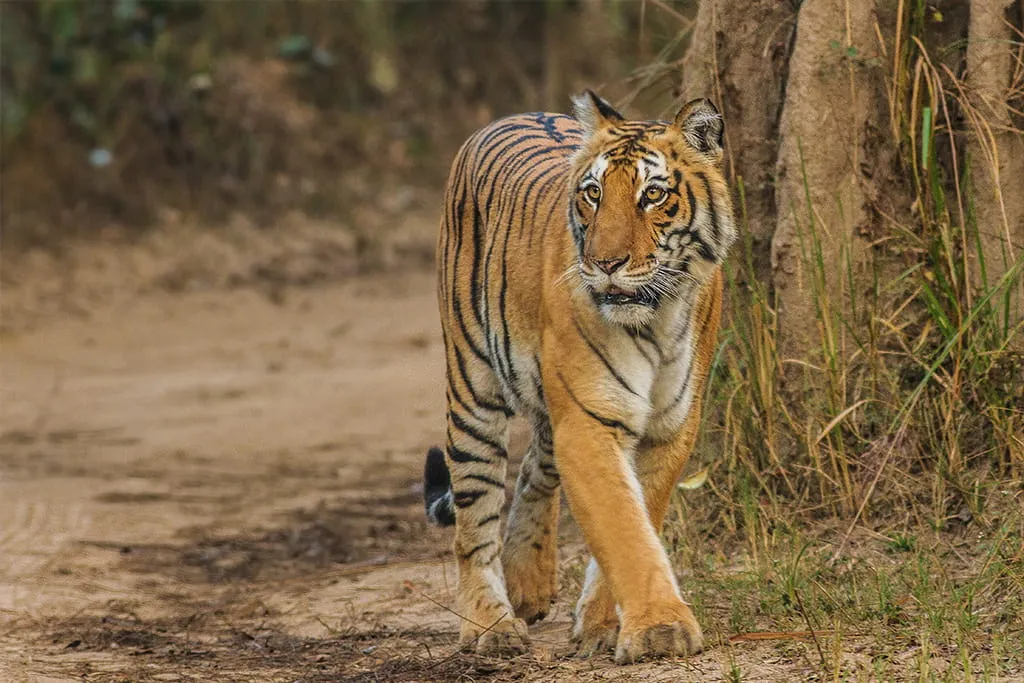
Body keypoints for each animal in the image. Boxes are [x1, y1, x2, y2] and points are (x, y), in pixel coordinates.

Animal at [422, 90, 736, 664]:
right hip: (472, 386)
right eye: (593, 194)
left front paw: (604, 624)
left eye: (652, 195)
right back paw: (490, 624)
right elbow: (623, 527)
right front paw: (660, 628)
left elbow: (639, 517)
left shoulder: (670, 426)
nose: (605, 263)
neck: (655, 319)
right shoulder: (590, 422)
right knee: (474, 518)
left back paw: (528, 583)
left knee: (534, 469)